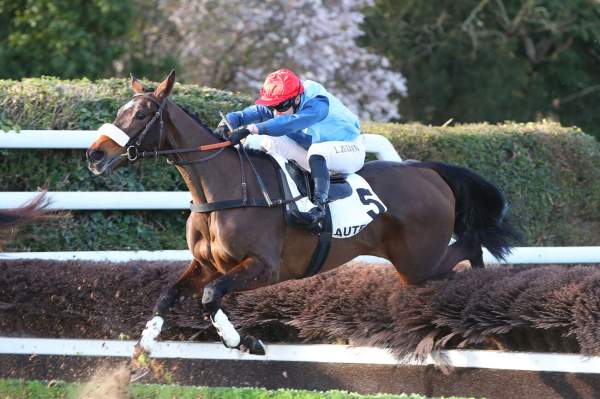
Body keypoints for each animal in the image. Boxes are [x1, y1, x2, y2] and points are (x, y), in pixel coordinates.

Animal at [85, 71, 520, 360]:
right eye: (122, 111)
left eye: (141, 115)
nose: (94, 154)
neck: (225, 188)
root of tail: (428, 170)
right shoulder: (206, 265)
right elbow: (169, 295)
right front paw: (143, 346)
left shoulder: (265, 267)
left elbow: (211, 298)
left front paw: (245, 341)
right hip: (414, 266)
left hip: (420, 260)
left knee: (469, 245)